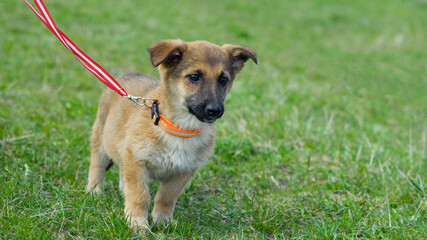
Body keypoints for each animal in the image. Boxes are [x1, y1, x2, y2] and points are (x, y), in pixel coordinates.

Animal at [85, 39, 256, 229]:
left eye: (223, 80)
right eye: (194, 77)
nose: (215, 110)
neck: (181, 129)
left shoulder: (183, 171)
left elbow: (166, 197)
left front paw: (162, 220)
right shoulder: (136, 160)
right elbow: (140, 195)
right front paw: (137, 223)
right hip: (100, 139)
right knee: (97, 166)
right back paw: (94, 192)